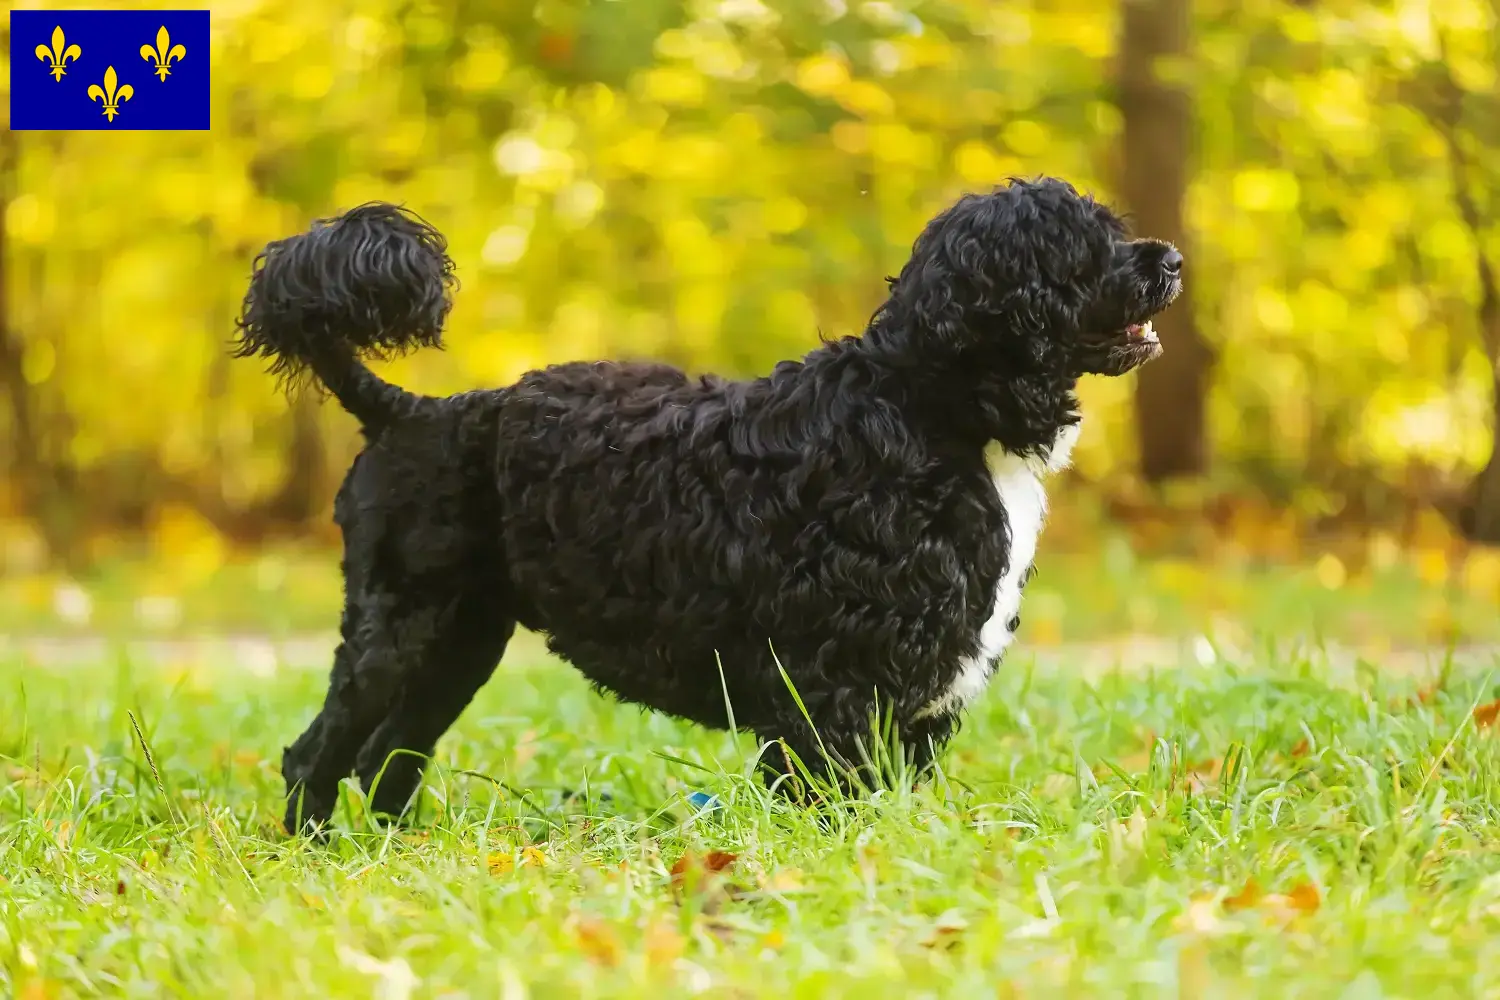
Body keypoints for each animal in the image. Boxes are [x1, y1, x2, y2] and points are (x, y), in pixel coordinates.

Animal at [231, 176, 1182, 833]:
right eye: (1085, 247)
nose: (1171, 259)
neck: (930, 408)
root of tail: (407, 410)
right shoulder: (832, 686)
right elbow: (832, 799)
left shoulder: (908, 693)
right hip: (401, 627)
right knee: (316, 755)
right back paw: (316, 859)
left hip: (461, 640)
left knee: (388, 757)